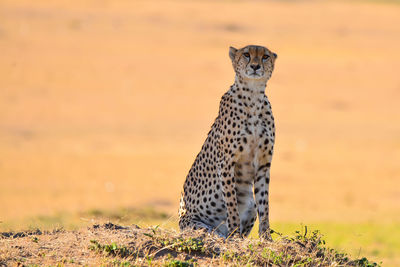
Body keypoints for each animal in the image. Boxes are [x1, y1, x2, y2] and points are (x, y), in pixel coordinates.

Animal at [179, 44, 276, 241]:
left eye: (265, 56)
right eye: (246, 54)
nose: (255, 66)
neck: (253, 97)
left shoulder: (264, 164)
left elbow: (264, 203)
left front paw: (266, 237)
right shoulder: (226, 162)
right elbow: (231, 201)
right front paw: (234, 234)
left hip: (251, 205)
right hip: (196, 225)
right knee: (209, 232)